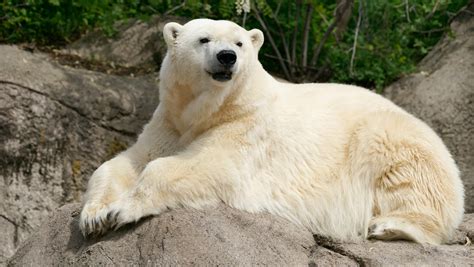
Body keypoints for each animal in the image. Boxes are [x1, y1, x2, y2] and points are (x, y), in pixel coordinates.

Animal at [79, 18, 464, 245]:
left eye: (239, 43)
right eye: (204, 39)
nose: (226, 57)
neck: (213, 108)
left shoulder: (247, 127)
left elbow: (208, 166)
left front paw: (121, 210)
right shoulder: (169, 122)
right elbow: (126, 162)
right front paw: (94, 215)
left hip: (394, 137)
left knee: (411, 178)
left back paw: (387, 226)